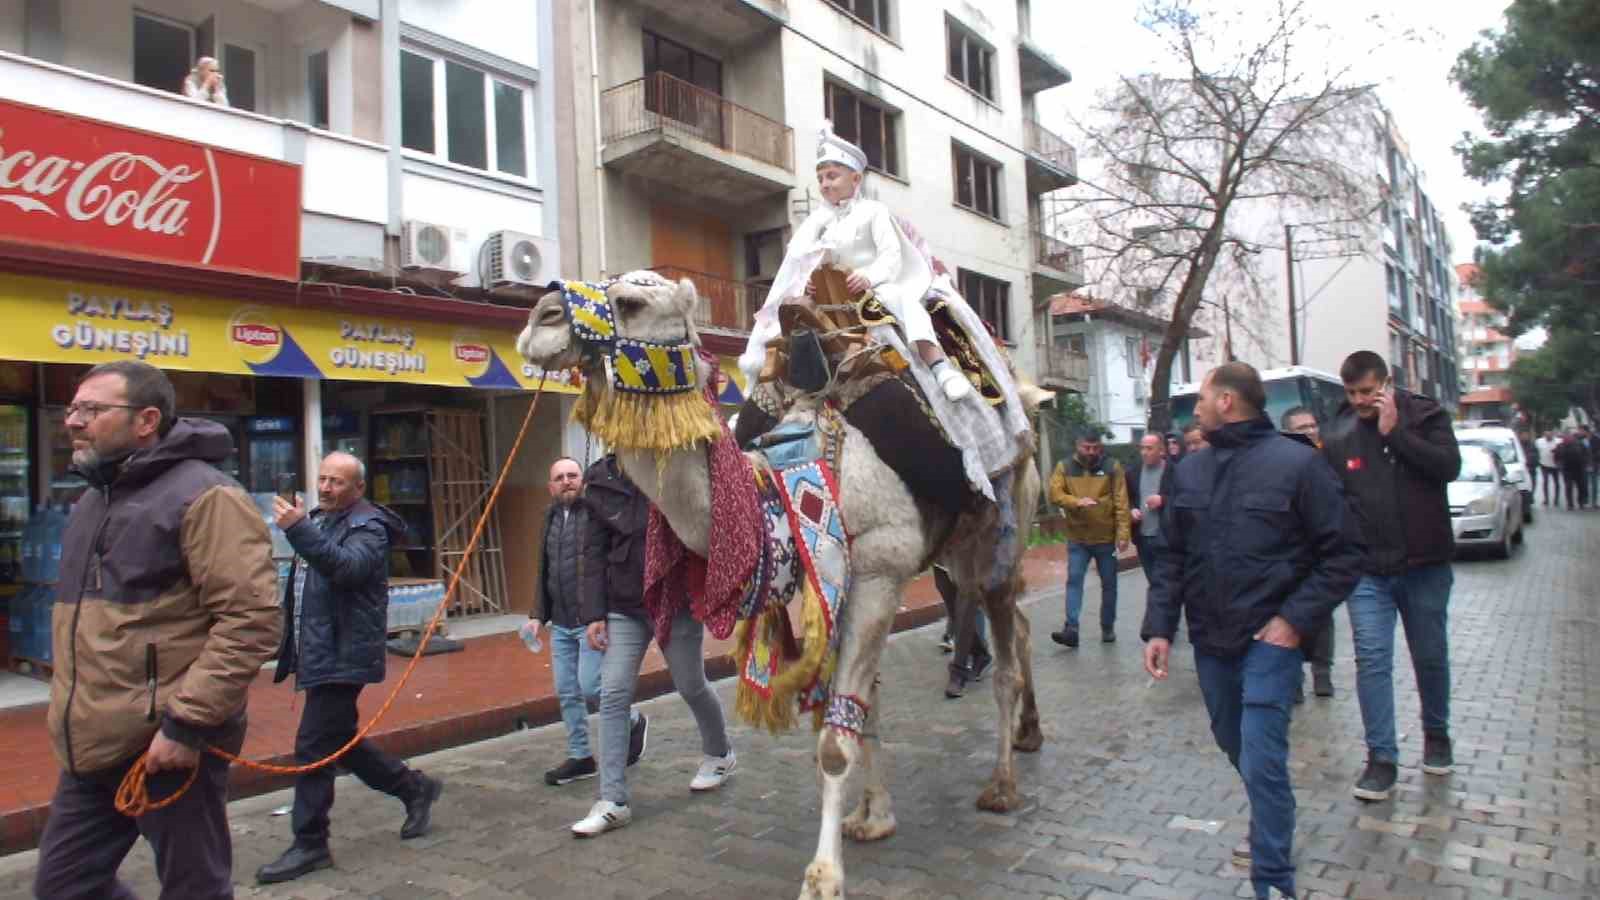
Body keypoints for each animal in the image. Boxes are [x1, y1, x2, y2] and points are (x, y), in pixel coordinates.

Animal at [515, 273, 1049, 896]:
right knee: (1023, 627)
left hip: (1001, 531)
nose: (540, 320)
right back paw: (1030, 734)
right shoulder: (835, 579)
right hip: (958, 553)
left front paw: (823, 877)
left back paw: (1002, 786)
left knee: (1007, 657)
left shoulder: (877, 571)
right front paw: (873, 818)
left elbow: (836, 740)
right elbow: (864, 706)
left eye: (632, 300)